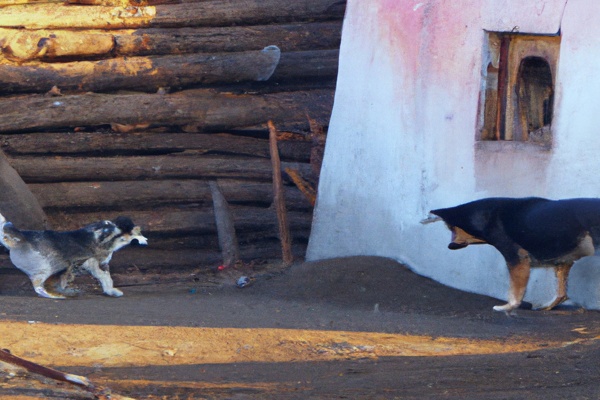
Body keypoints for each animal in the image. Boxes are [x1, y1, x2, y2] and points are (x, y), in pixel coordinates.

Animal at [0, 214, 148, 298]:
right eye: (109, 229)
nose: (126, 224)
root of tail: (21, 236)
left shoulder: (95, 264)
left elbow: (106, 277)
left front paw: (110, 290)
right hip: (49, 267)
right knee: (38, 285)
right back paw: (52, 294)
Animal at [424, 198, 600, 310]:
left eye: (450, 228)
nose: (450, 246)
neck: (486, 214)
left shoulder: (516, 258)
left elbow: (516, 292)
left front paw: (508, 307)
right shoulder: (562, 262)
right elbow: (561, 293)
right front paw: (547, 306)